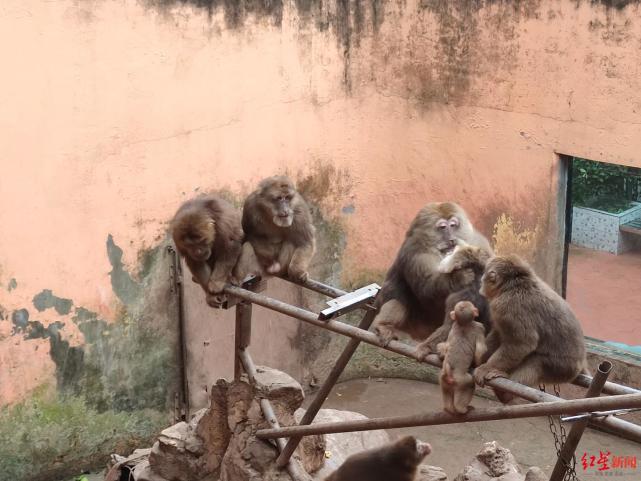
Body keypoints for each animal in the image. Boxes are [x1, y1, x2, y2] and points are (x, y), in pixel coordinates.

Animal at [370, 202, 490, 344]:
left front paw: (475, 258)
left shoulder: (478, 241)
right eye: (443, 227)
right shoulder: (416, 253)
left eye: (453, 225)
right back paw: (383, 325)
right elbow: (427, 288)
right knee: (397, 302)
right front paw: (458, 277)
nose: (452, 239)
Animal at [472, 253, 588, 400]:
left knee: (537, 363)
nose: (481, 281)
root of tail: (581, 362)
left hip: (562, 368)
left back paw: (504, 394)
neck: (510, 287)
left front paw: (486, 367)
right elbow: (499, 333)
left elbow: (523, 343)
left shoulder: (507, 306)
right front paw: (478, 358)